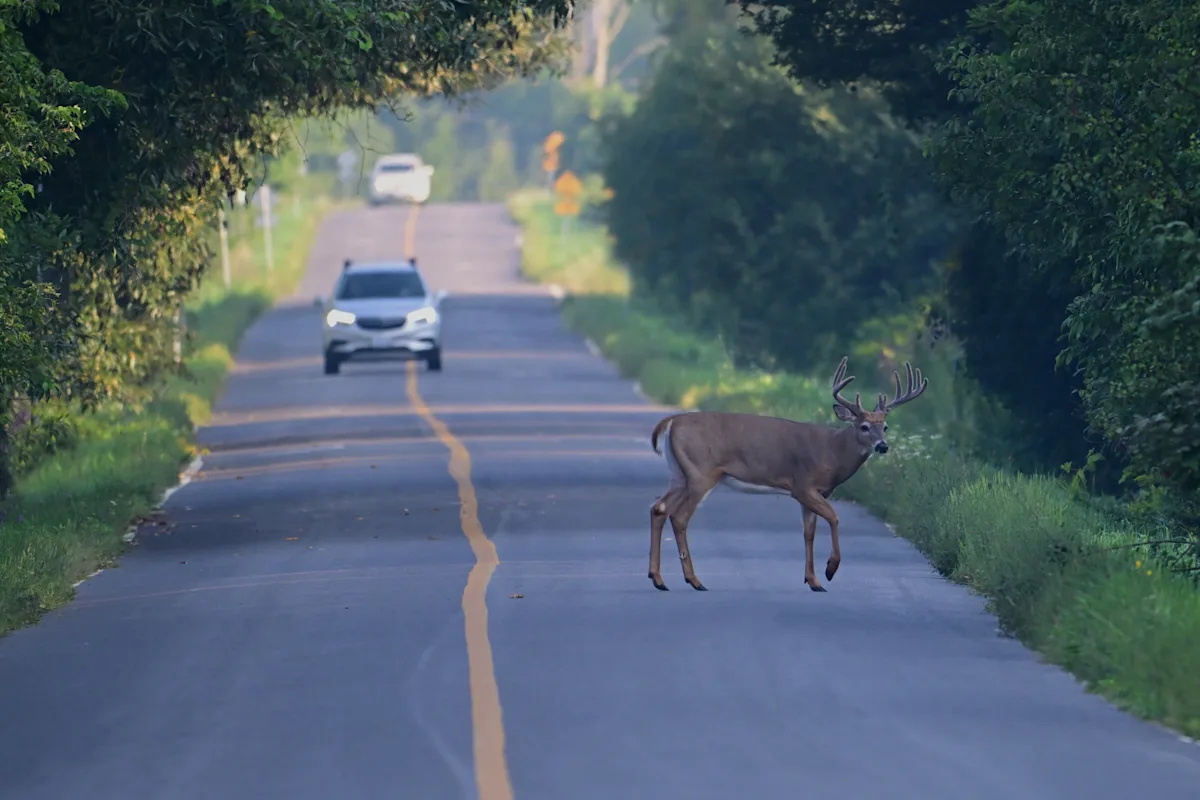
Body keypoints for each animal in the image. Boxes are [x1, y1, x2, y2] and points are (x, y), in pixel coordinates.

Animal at [647, 356, 927, 592]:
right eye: (864, 426)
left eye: (886, 426)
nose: (882, 446)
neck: (832, 452)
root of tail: (670, 422)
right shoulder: (802, 486)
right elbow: (834, 517)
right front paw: (830, 570)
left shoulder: (814, 493)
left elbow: (809, 533)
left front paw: (813, 581)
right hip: (701, 472)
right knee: (679, 517)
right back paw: (694, 580)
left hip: (680, 474)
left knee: (659, 508)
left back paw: (658, 579)